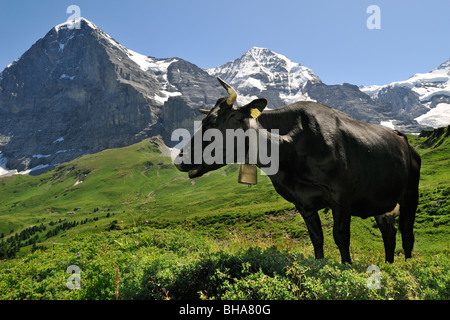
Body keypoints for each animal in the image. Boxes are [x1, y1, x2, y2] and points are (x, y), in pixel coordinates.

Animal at [174, 77, 420, 262]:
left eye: (213, 122)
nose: (179, 159)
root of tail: (402, 139)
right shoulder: (304, 204)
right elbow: (316, 238)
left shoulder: (341, 197)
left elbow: (341, 236)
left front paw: (347, 268)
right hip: (382, 203)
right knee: (389, 234)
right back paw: (388, 266)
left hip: (410, 195)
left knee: (407, 234)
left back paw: (406, 267)